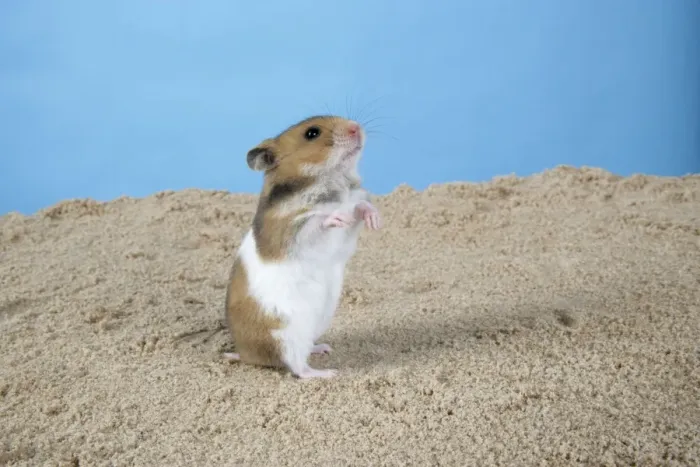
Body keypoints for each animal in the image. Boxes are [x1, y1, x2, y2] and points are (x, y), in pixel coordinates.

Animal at [223, 115, 382, 379]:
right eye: (312, 133)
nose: (356, 127)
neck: (334, 179)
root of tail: (246, 354)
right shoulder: (290, 230)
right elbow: (317, 219)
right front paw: (338, 217)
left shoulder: (354, 207)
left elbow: (360, 206)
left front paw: (375, 221)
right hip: (285, 337)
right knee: (298, 368)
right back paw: (327, 373)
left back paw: (323, 348)